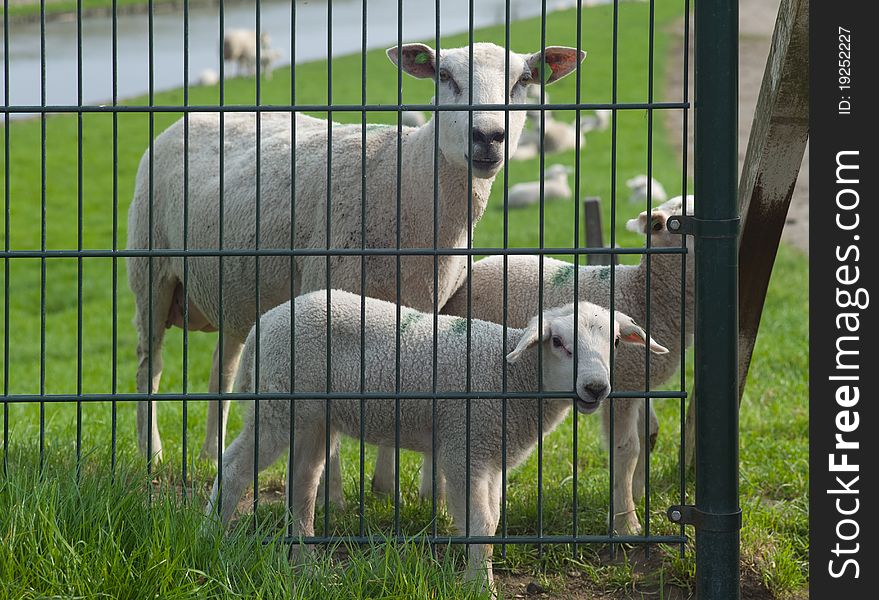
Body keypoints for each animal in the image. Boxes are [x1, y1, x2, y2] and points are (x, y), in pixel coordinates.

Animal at [203, 290, 664, 592]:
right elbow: (481, 524)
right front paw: (480, 586)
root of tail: (266, 323)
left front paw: (477, 576)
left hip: (315, 417)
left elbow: (492, 520)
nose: (596, 388)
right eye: (557, 342)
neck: (511, 378)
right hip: (277, 403)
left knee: (302, 483)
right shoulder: (465, 447)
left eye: (616, 342)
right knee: (235, 466)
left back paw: (308, 564)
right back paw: (211, 536)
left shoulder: (489, 452)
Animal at [444, 197, 696, 536]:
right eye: (670, 225)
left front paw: (640, 492)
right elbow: (626, 449)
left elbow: (650, 434)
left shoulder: (635, 380)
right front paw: (626, 522)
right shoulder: (622, 388)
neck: (645, 295)